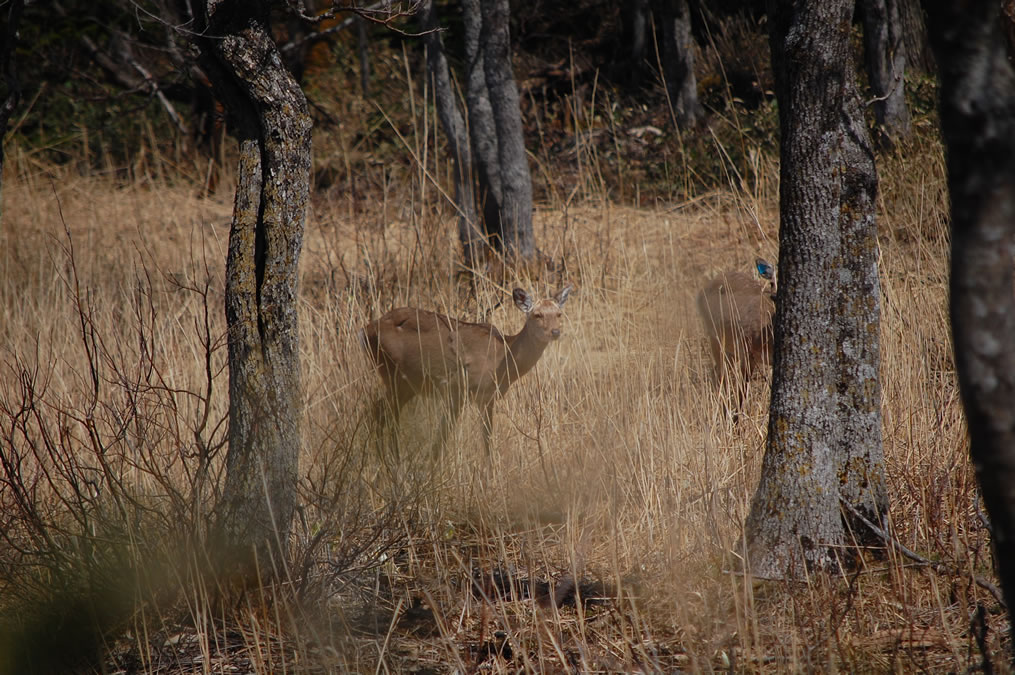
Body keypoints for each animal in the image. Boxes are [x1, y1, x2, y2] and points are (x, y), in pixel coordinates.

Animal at [363, 282, 576, 454]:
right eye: (537, 315)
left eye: (559, 314)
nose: (555, 331)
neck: (503, 358)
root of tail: (365, 330)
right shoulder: (461, 389)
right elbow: (447, 436)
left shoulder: (484, 397)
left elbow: (483, 439)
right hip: (396, 375)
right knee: (383, 413)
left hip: (406, 382)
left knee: (380, 412)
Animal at [698, 256, 775, 410]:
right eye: (772, 283)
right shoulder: (748, 353)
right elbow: (742, 393)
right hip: (715, 338)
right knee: (721, 376)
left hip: (730, 349)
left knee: (717, 372)